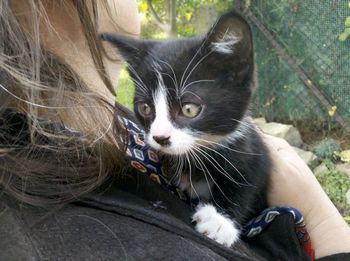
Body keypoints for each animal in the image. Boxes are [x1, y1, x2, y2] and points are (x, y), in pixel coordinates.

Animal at [101, 10, 270, 246]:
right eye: (145, 108)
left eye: (189, 109)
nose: (160, 138)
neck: (199, 157)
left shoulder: (253, 148)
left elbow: (249, 178)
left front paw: (220, 220)